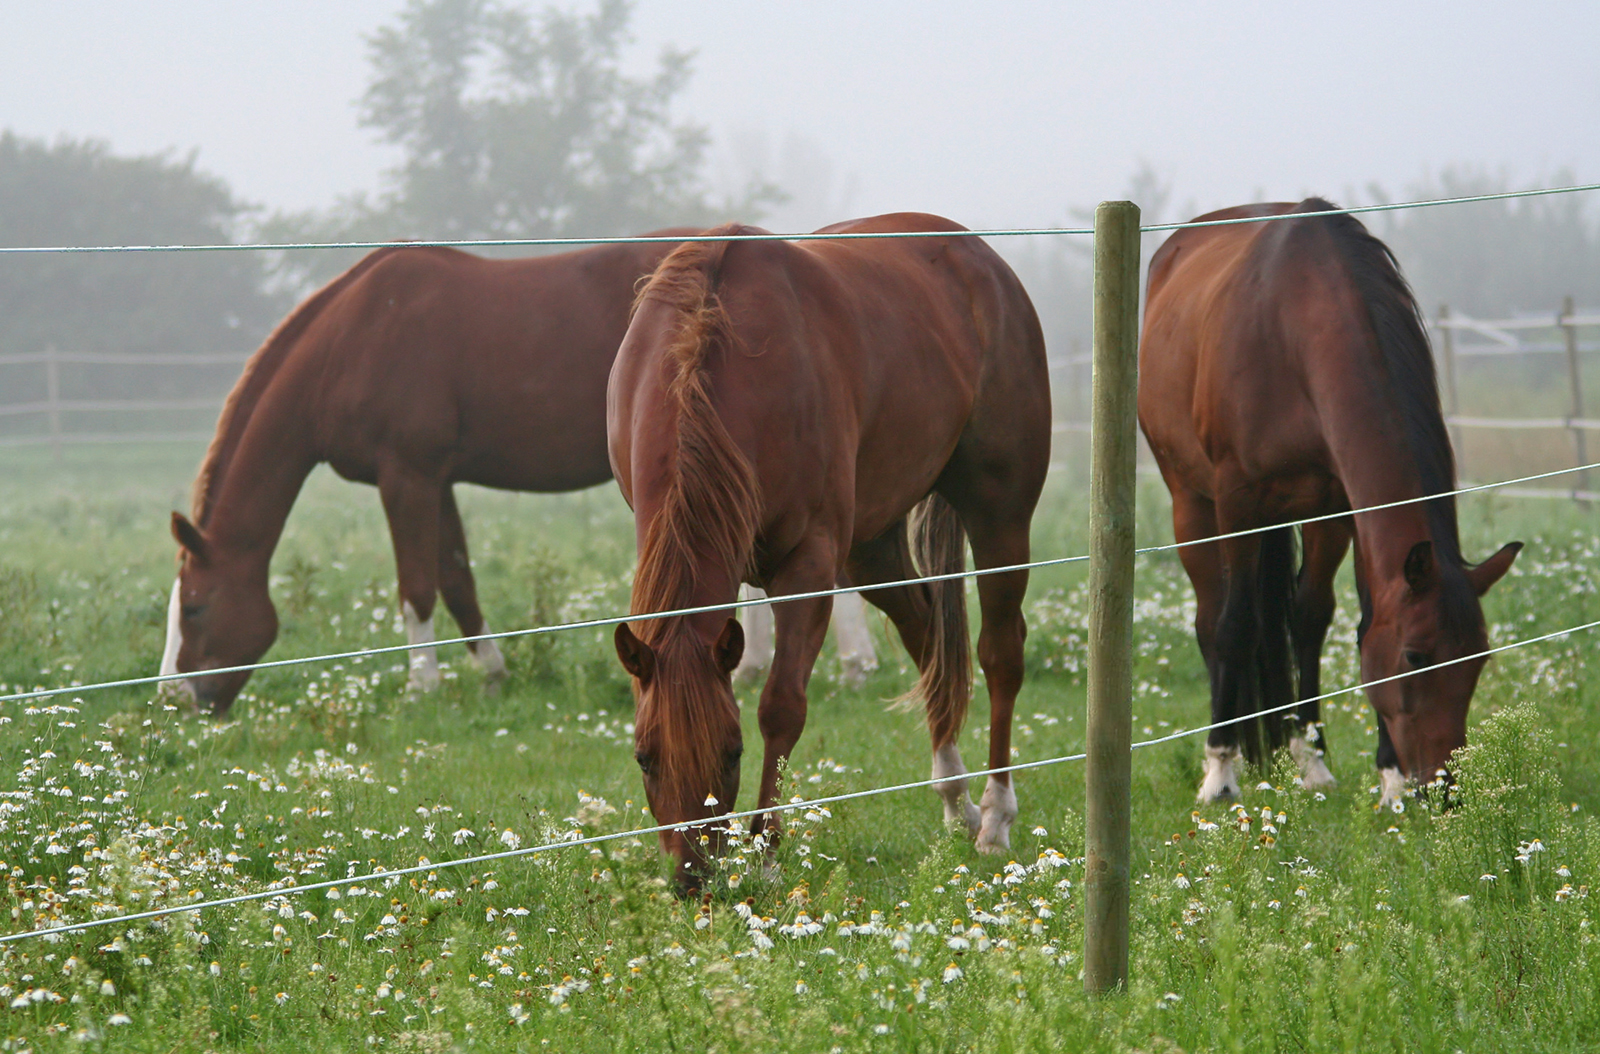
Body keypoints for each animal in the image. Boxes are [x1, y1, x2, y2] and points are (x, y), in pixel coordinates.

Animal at [607, 214, 1051, 888]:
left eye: (732, 753)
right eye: (643, 757)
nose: (692, 878)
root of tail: (982, 259)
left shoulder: (808, 568)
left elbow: (781, 707)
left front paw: (765, 853)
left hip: (999, 515)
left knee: (1000, 653)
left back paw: (995, 817)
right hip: (870, 546)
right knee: (927, 632)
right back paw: (955, 801)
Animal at [1137, 199, 1521, 808]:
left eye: (1479, 658)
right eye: (1416, 656)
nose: (1444, 790)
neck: (1296, 326)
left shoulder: (1340, 504)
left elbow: (1338, 618)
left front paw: (1372, 774)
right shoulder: (1237, 501)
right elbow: (1235, 625)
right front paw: (1219, 772)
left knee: (1296, 615)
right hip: (1191, 502)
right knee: (1211, 617)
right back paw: (1233, 754)